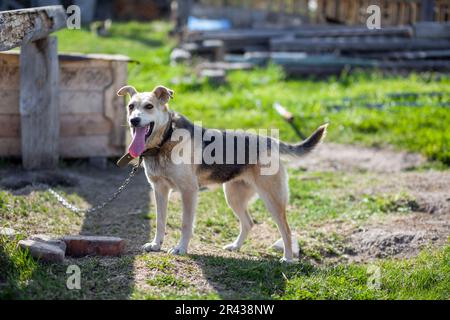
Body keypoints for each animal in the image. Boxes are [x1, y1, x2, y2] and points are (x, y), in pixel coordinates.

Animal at [116, 85, 326, 262]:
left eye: (149, 106)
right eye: (131, 106)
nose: (134, 120)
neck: (164, 140)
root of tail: (270, 141)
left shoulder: (188, 191)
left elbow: (185, 224)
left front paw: (180, 248)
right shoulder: (159, 190)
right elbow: (160, 222)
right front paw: (156, 244)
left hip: (272, 199)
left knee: (286, 230)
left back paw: (288, 259)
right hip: (233, 197)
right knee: (249, 223)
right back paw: (235, 246)